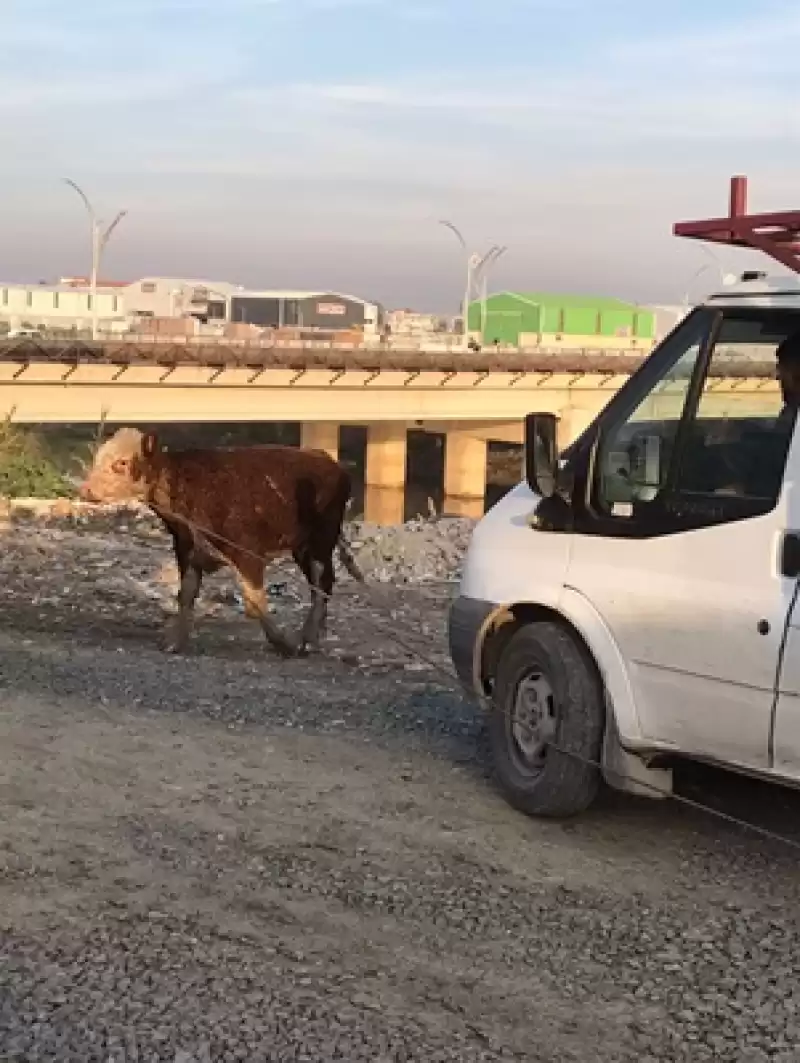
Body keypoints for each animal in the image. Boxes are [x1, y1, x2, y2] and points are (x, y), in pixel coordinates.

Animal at [78, 427, 361, 650]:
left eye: (122, 463)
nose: (86, 490)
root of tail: (326, 459)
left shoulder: (248, 553)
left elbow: (254, 604)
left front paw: (283, 643)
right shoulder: (188, 550)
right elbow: (186, 595)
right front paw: (175, 641)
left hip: (321, 542)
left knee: (322, 584)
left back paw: (307, 638)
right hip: (302, 548)